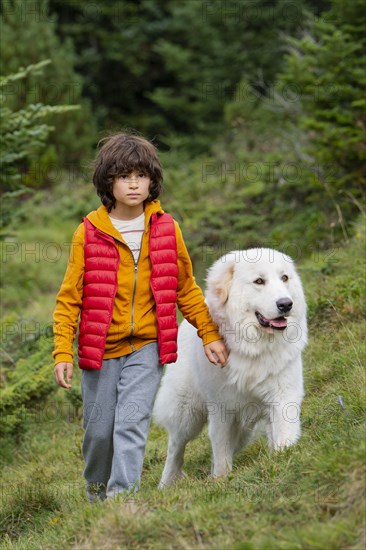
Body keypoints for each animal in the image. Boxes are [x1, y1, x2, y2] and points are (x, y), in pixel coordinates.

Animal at [153, 249, 308, 488]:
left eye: (284, 278)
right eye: (259, 281)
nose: (285, 304)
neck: (253, 347)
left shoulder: (283, 394)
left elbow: (283, 430)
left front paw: (283, 456)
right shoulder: (221, 408)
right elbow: (220, 448)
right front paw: (221, 478)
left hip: (243, 427)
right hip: (187, 413)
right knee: (175, 447)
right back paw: (167, 483)